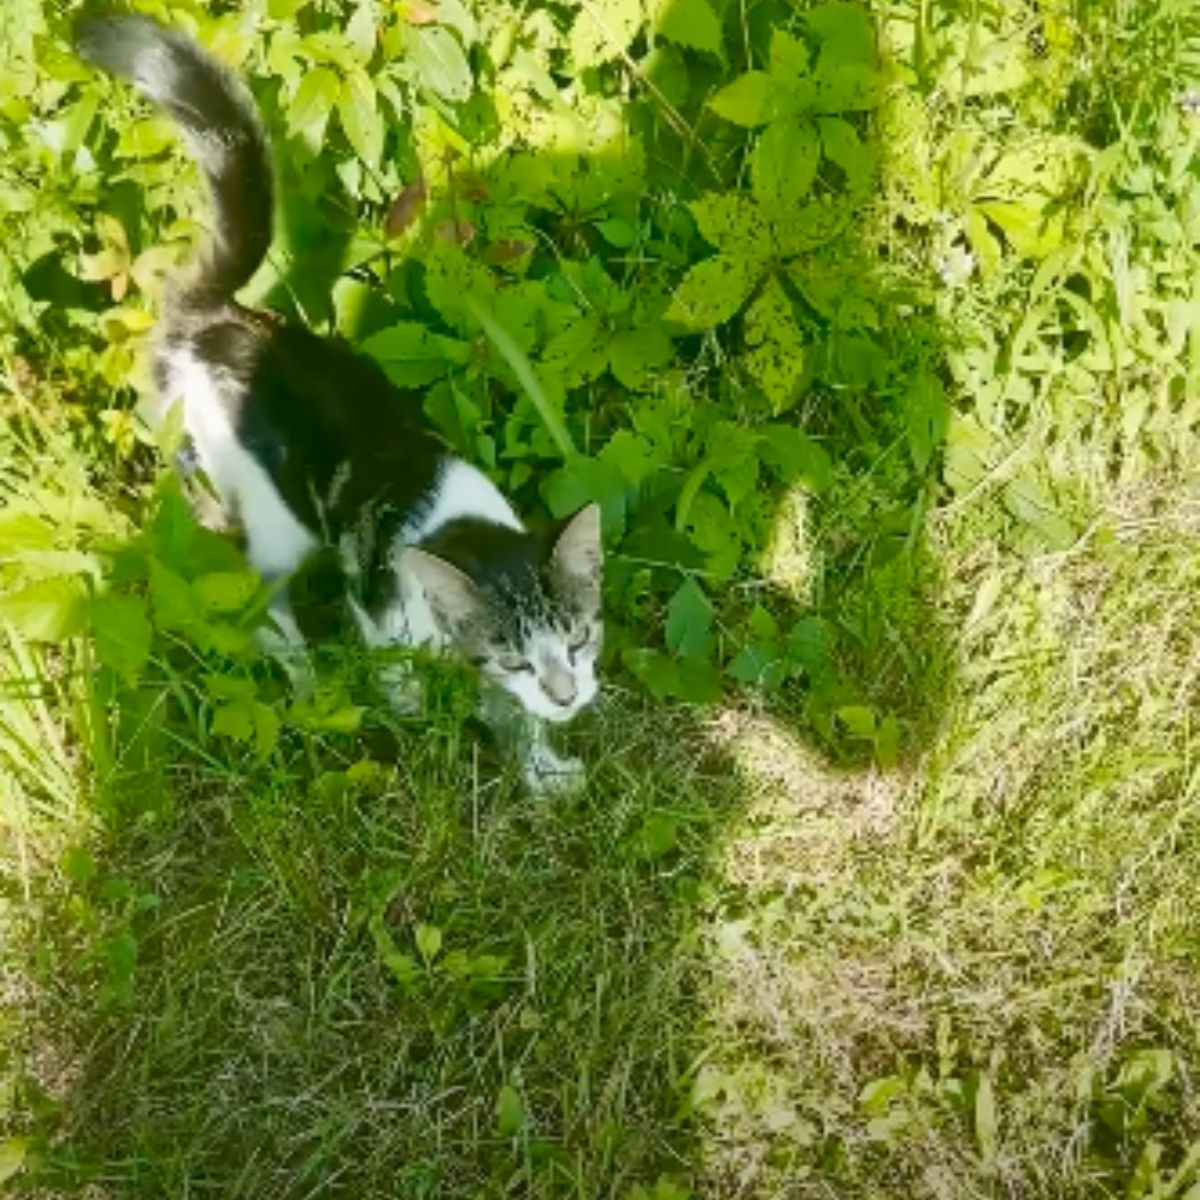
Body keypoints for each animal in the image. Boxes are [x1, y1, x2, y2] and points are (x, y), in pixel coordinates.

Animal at [77, 16, 600, 796]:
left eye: (579, 636)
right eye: (514, 656)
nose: (568, 696)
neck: (449, 516)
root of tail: (205, 316)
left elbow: (511, 716)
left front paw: (541, 764)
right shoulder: (378, 607)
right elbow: (400, 674)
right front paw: (412, 716)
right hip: (252, 511)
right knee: (262, 600)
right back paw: (303, 679)